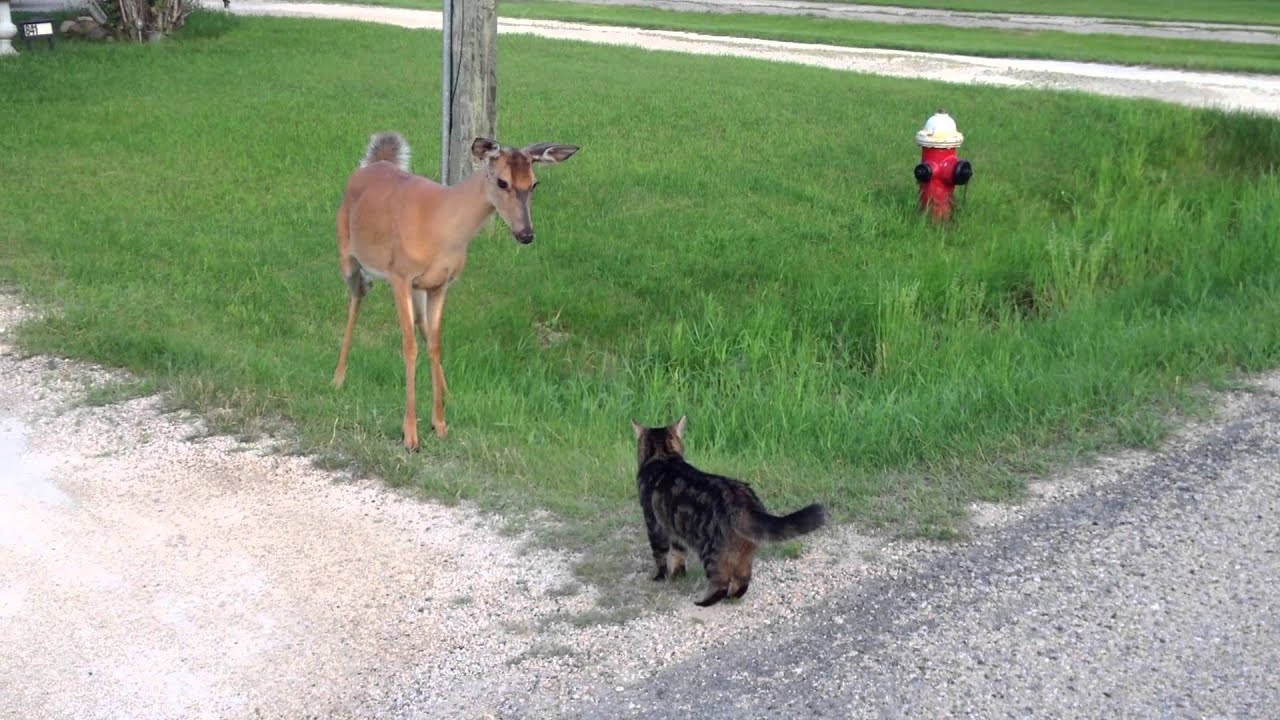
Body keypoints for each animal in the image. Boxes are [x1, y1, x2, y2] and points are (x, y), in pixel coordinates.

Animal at [332, 128, 578, 448]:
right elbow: (409, 347)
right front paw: (410, 434)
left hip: (417, 289)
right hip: (348, 255)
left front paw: (439, 423)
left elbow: (435, 344)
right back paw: (338, 377)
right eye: (502, 181)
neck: (442, 229)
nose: (526, 234)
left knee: (420, 324)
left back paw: (447, 392)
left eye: (534, 183)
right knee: (357, 298)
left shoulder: (440, 284)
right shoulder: (400, 275)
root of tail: (372, 165)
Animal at [632, 415, 829, 604]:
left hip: (710, 552)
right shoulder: (674, 529)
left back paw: (705, 601)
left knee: (722, 582)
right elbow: (678, 555)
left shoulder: (654, 524)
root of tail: (742, 497)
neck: (663, 456)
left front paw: (660, 577)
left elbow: (660, 555)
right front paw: (677, 576)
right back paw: (731, 597)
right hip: (743, 549)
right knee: (743, 579)